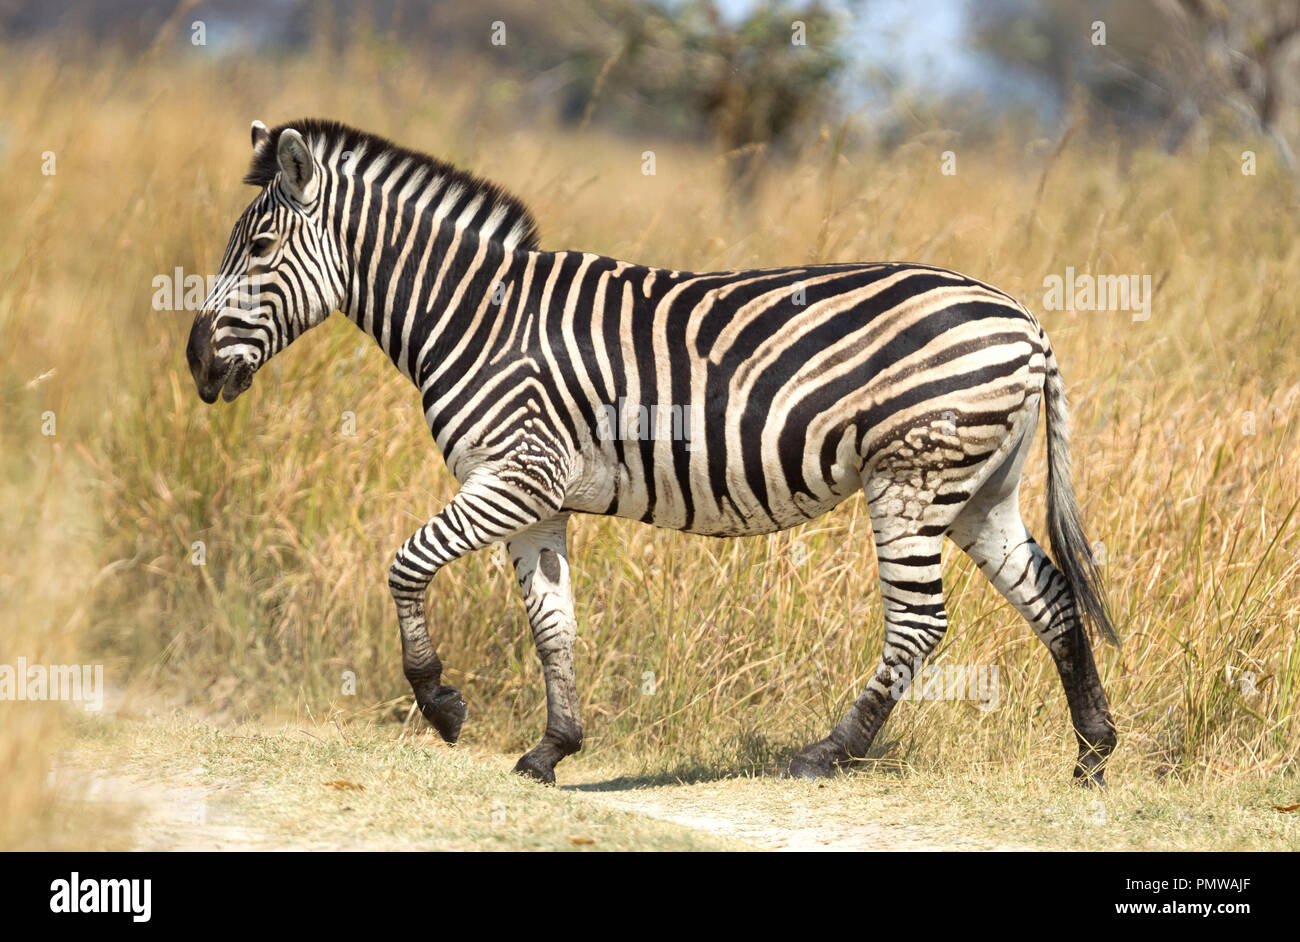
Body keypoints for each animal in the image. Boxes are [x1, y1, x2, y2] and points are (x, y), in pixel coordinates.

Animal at [186, 118, 1117, 786]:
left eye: (260, 250)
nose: (195, 363)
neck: (475, 316)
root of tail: (1027, 322)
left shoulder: (515, 474)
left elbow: (406, 565)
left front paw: (442, 703)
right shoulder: (535, 498)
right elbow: (551, 623)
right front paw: (552, 749)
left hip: (912, 480)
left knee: (921, 623)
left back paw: (826, 754)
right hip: (978, 491)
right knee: (1052, 598)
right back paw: (1093, 753)